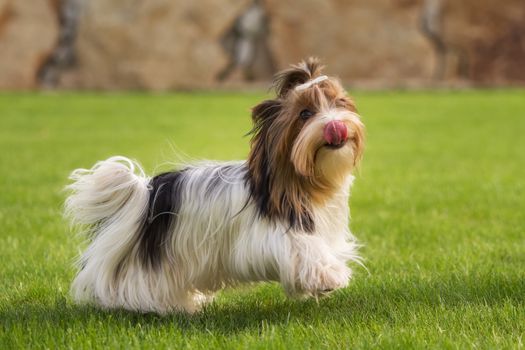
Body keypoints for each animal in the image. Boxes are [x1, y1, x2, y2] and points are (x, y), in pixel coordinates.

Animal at [65, 58, 364, 314]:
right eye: (305, 113)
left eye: (340, 103)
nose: (336, 125)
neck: (301, 182)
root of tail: (145, 194)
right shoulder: (273, 237)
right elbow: (303, 251)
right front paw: (329, 277)